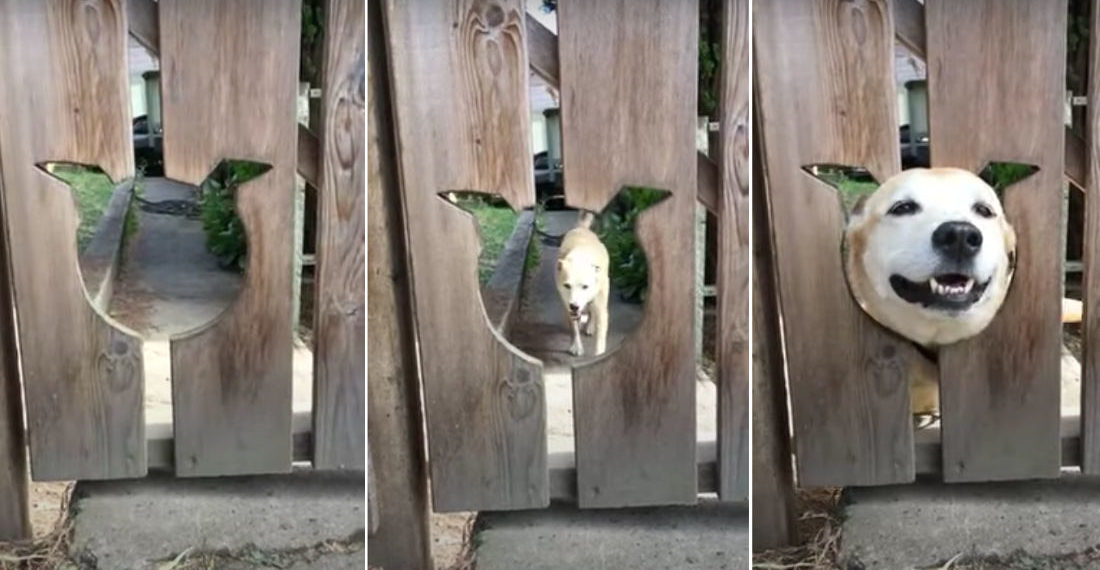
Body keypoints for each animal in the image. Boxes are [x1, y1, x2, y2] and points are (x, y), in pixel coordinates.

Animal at [558, 210, 611, 356]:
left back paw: (590, 326)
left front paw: (599, 355)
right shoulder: (568, 307)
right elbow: (574, 329)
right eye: (567, 285)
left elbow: (601, 338)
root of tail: (582, 228)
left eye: (585, 286)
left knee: (592, 311)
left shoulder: (601, 310)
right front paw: (576, 346)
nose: (574, 306)